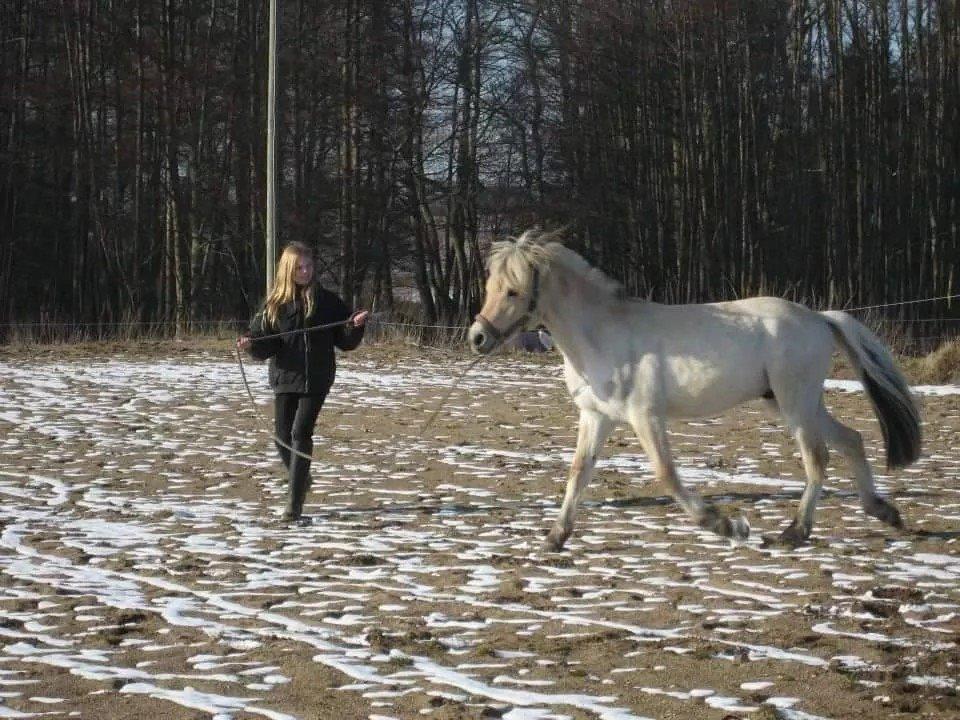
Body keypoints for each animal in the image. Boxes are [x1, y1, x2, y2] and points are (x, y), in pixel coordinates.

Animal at [468, 231, 920, 552]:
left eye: (513, 290)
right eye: (490, 286)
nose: (477, 337)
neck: (601, 335)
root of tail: (819, 318)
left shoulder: (645, 416)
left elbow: (666, 475)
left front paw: (728, 526)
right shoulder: (596, 416)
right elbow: (579, 473)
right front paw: (555, 537)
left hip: (796, 403)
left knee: (818, 459)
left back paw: (795, 532)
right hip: (794, 404)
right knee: (851, 440)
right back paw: (883, 512)